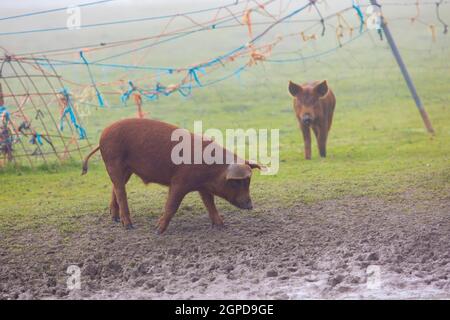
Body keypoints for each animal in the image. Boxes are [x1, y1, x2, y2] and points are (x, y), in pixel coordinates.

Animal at [79, 119, 258, 234]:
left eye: (249, 181)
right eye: (237, 183)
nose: (251, 206)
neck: (212, 170)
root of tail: (103, 134)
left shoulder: (202, 187)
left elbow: (210, 205)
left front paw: (222, 226)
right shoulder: (179, 182)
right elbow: (172, 205)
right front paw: (157, 231)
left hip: (127, 169)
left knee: (115, 188)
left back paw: (115, 219)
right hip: (113, 162)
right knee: (121, 192)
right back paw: (128, 226)